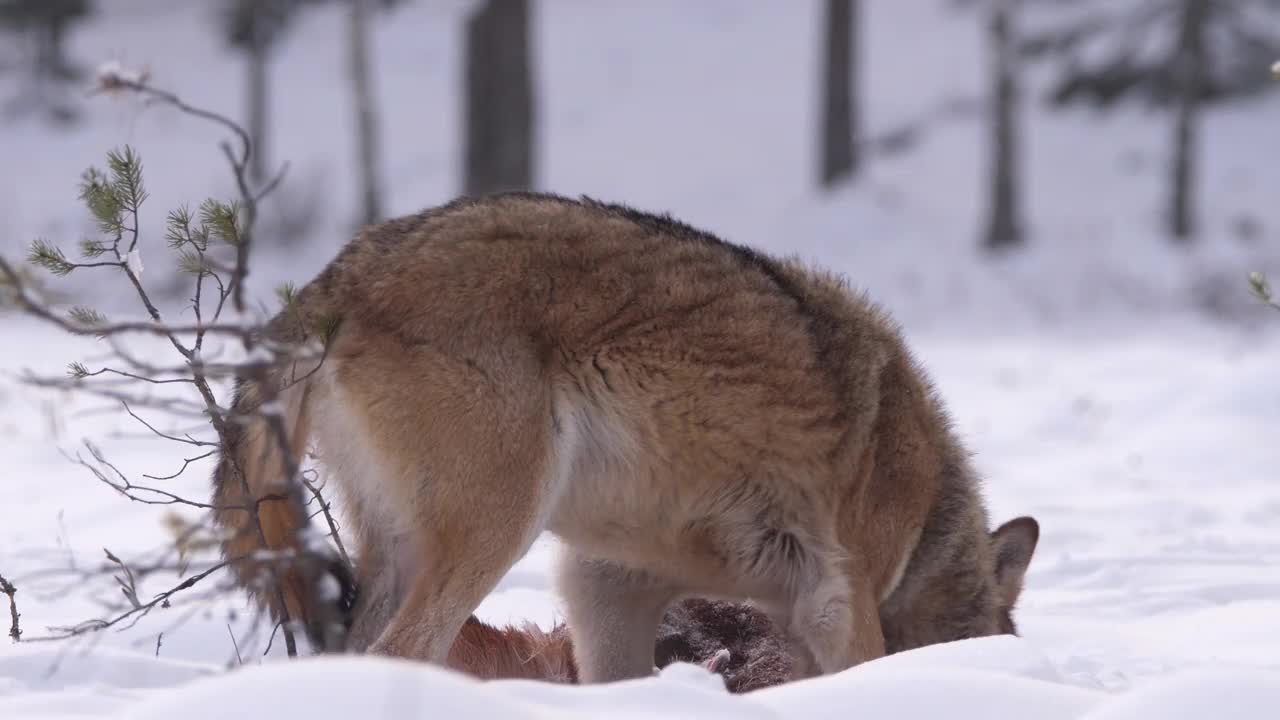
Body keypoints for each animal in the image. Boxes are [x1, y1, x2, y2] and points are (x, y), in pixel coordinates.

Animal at [209, 192, 1039, 681]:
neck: (928, 512)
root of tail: (336, 280)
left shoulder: (605, 580)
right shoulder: (843, 600)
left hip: (401, 552)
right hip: (496, 530)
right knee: (404, 651)